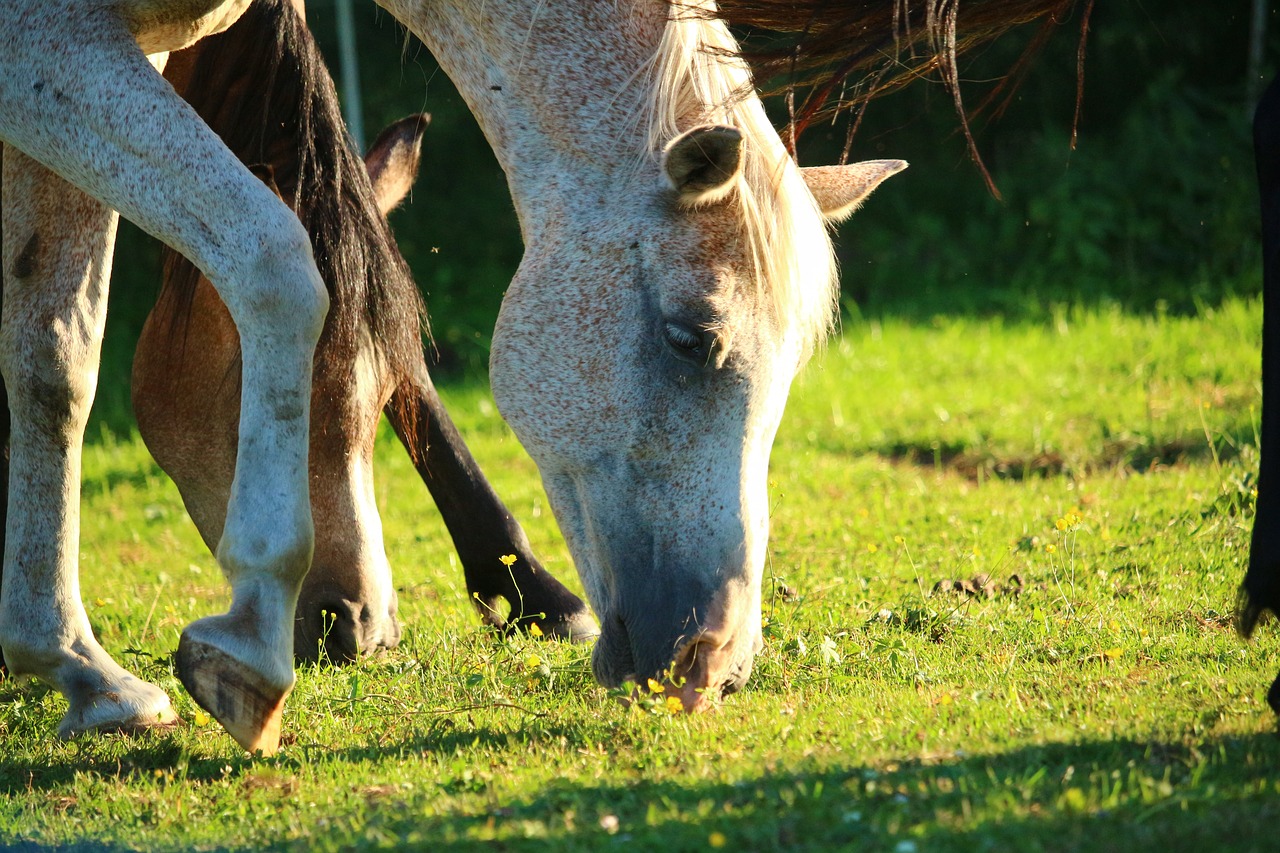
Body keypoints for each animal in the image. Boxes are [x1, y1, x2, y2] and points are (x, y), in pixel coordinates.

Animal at [0, 0, 901, 747]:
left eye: (381, 399)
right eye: (693, 338)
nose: (713, 661)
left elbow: (54, 362)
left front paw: (76, 664)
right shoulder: (52, 48)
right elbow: (269, 265)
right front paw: (237, 647)